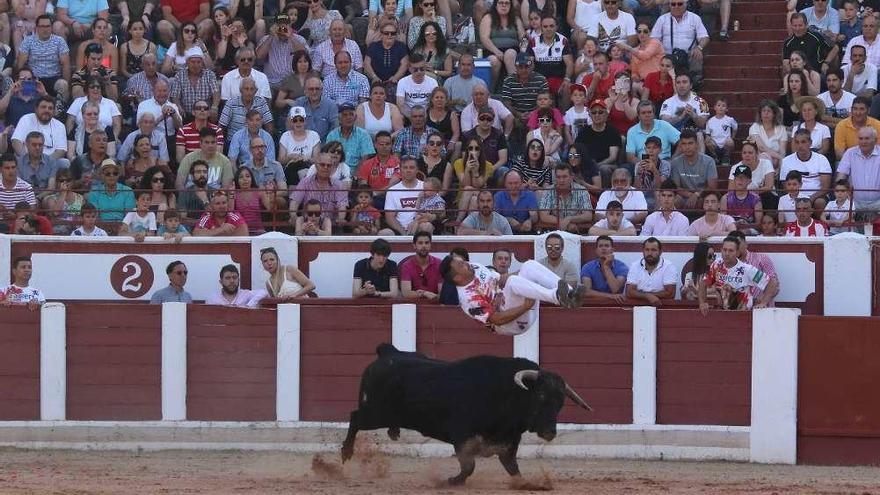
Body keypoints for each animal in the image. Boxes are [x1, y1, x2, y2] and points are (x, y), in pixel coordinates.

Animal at [340, 344, 596, 484]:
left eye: (560, 402)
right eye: (541, 396)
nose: (550, 432)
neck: (506, 393)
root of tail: (387, 353)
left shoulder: (508, 441)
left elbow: (512, 468)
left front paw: (528, 484)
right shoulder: (461, 435)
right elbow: (468, 466)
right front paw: (452, 481)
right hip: (377, 413)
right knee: (355, 418)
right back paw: (346, 453)